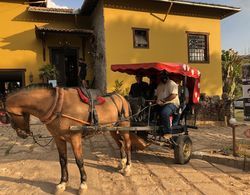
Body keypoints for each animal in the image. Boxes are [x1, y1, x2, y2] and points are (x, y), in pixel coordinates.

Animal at [1, 84, 132, 194]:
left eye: (7, 115)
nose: (22, 134)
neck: (59, 106)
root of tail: (121, 97)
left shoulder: (75, 138)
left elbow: (79, 161)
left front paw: (83, 184)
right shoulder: (58, 138)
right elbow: (63, 160)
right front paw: (63, 183)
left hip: (124, 127)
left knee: (127, 145)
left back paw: (127, 167)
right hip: (112, 128)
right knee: (120, 144)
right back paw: (122, 162)